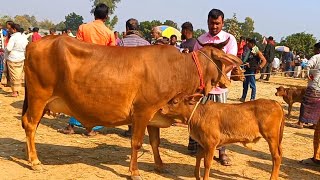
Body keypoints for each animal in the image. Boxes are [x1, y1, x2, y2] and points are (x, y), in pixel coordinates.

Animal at [22, 35, 241, 179]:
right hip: (38, 97)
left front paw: (160, 166)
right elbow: (136, 143)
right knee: (30, 125)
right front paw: (134, 171)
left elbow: (155, 142)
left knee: (30, 125)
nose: (229, 80)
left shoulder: (154, 115)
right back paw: (35, 161)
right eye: (223, 61)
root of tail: (34, 43)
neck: (178, 69)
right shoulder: (143, 111)